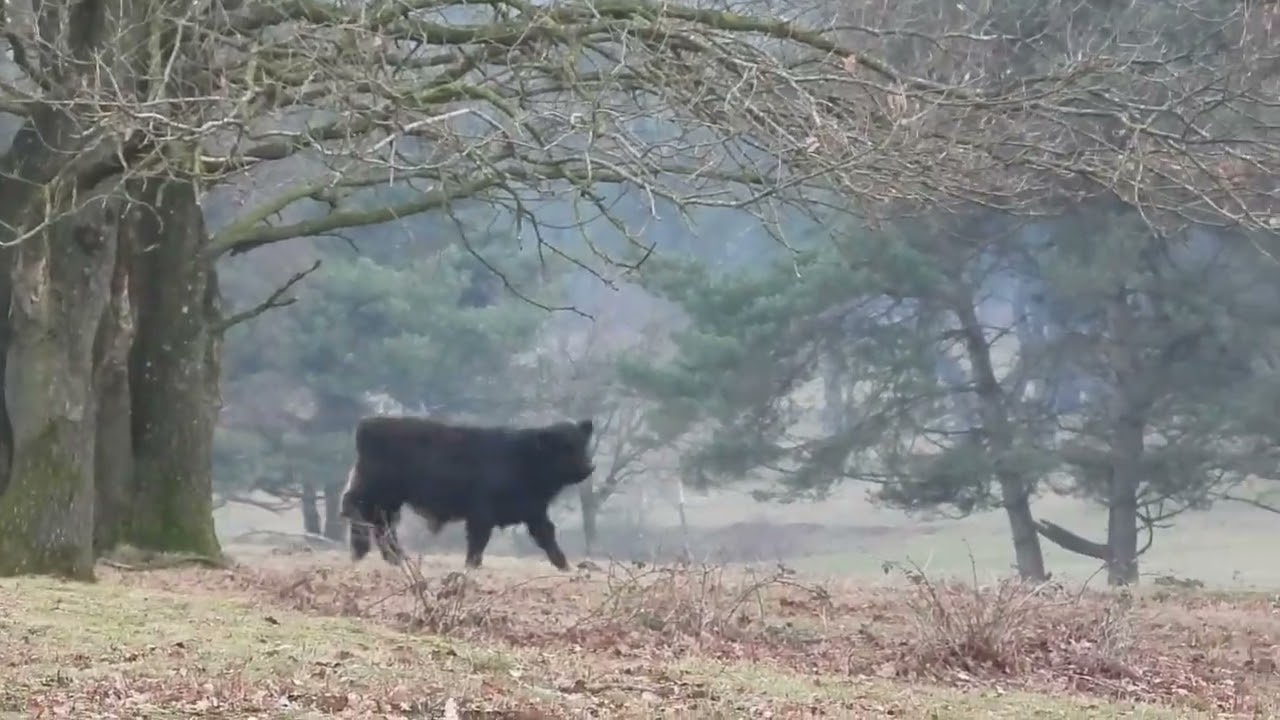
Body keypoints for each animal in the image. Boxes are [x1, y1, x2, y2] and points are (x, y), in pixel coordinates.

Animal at [338, 414, 595, 571]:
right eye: (564, 448)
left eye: (582, 444)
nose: (589, 467)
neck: (524, 457)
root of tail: (368, 424)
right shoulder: (482, 512)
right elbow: (478, 540)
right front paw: (472, 565)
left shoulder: (535, 512)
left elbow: (547, 536)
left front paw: (564, 565)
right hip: (376, 490)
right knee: (353, 508)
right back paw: (365, 550)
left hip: (388, 500)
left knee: (381, 525)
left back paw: (392, 557)